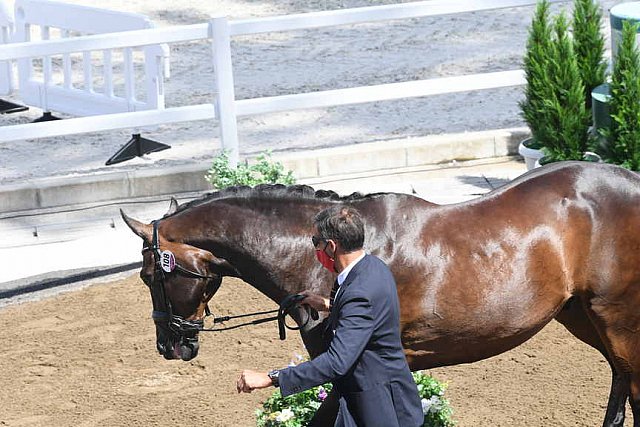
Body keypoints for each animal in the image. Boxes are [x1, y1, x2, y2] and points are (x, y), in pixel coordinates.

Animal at [121, 161, 640, 427]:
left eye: (150, 276)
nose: (170, 345)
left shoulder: (349, 366)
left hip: (615, 316)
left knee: (631, 381)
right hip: (581, 314)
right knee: (619, 379)